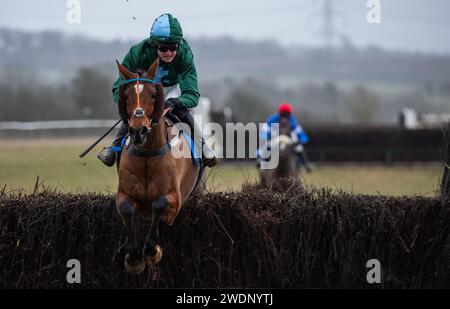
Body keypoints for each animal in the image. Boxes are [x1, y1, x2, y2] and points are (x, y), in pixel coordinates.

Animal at [115, 59, 201, 274]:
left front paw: (152, 250)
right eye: (126, 95)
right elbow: (127, 208)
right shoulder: (123, 194)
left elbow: (159, 204)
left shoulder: (175, 200)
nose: (138, 131)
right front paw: (134, 257)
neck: (147, 153)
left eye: (153, 94)